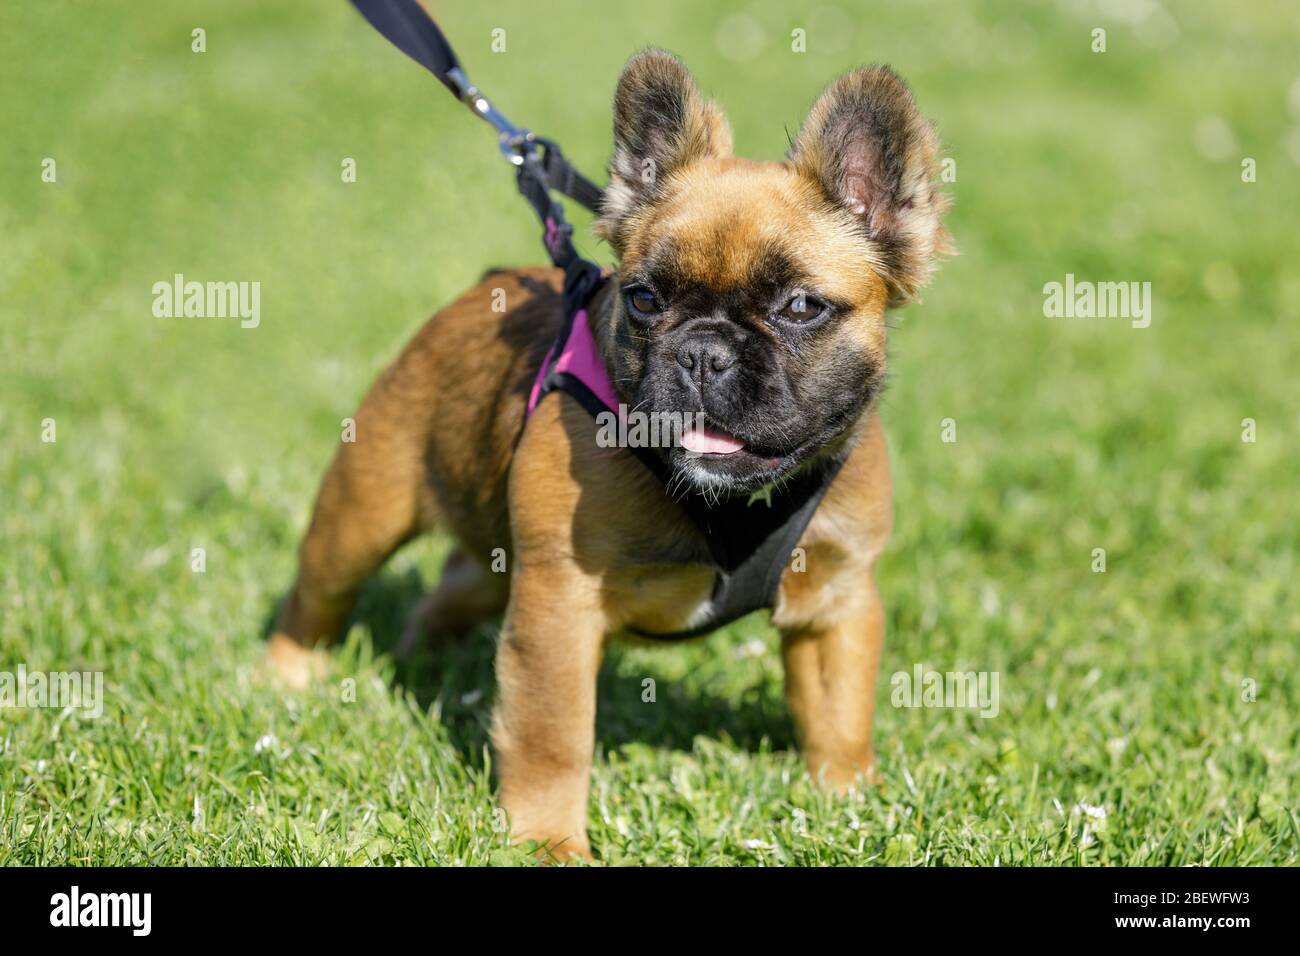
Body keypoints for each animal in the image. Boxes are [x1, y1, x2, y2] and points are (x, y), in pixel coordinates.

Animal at [266, 50, 956, 858]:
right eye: (645, 299)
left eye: (801, 308)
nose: (703, 353)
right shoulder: (558, 612)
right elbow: (552, 738)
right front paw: (547, 845)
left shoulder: (837, 602)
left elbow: (838, 711)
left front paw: (846, 800)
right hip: (363, 511)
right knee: (318, 593)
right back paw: (286, 676)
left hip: (494, 561)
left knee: (453, 589)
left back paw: (423, 658)